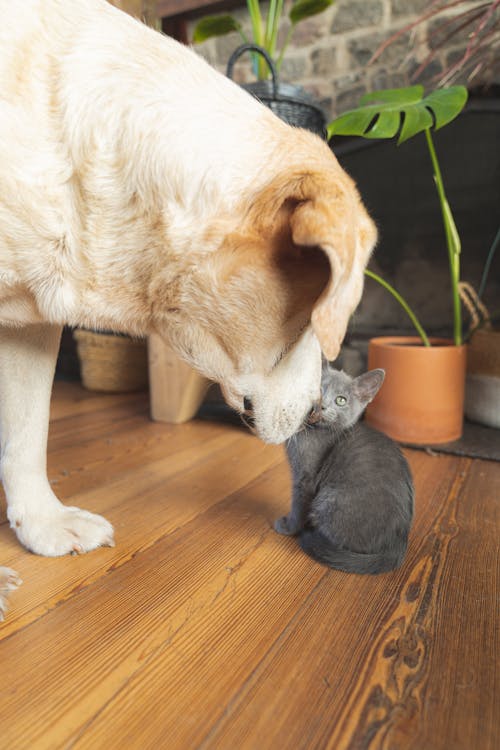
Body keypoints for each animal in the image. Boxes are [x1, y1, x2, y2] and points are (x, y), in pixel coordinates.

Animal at [276, 368, 412, 580]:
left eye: (341, 400)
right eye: (318, 389)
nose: (321, 406)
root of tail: (398, 544)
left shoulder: (305, 478)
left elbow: (298, 506)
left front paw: (288, 527)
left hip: (328, 500)